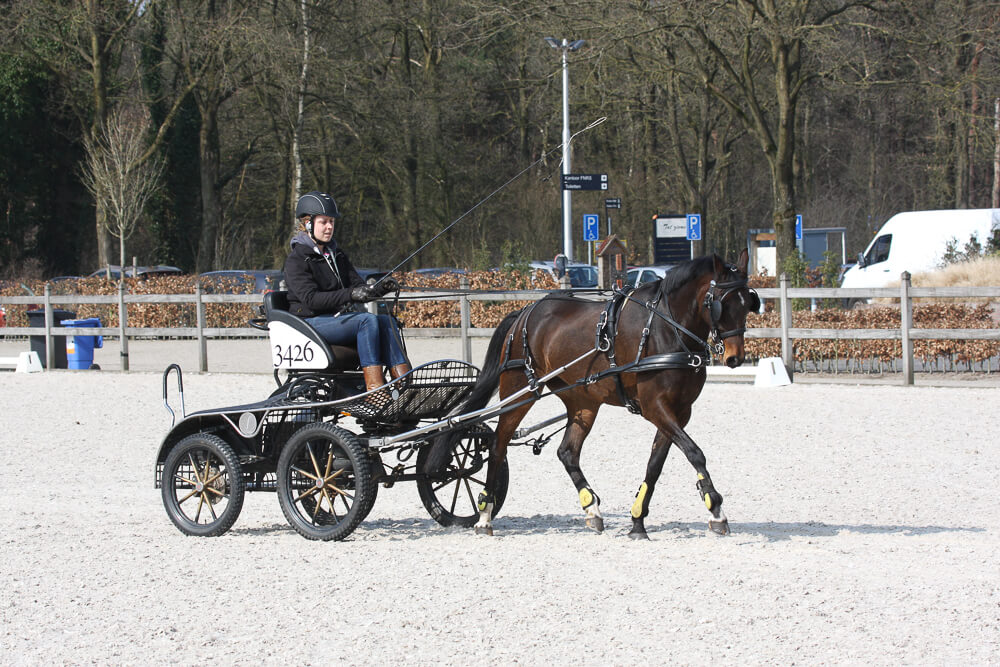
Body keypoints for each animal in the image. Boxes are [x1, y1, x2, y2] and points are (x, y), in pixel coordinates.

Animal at [460, 249, 756, 536]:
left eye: (748, 303)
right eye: (720, 304)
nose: (735, 357)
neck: (667, 327)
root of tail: (524, 311)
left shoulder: (680, 411)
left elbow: (655, 464)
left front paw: (637, 521)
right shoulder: (655, 407)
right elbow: (694, 452)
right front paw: (715, 508)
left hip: (583, 401)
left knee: (567, 452)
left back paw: (591, 508)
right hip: (519, 390)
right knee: (498, 446)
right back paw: (484, 515)